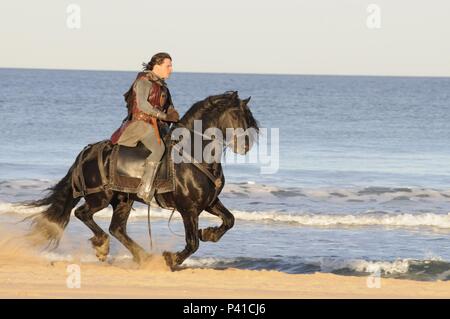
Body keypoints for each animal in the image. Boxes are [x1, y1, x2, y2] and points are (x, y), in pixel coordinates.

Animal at [23, 92, 260, 270]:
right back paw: (103, 246)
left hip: (123, 200)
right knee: (83, 214)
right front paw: (171, 259)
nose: (246, 146)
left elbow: (229, 220)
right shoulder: (189, 209)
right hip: (99, 197)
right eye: (237, 116)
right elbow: (192, 243)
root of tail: (88, 151)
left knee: (117, 229)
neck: (195, 155)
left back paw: (143, 256)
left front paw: (209, 233)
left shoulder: (209, 202)